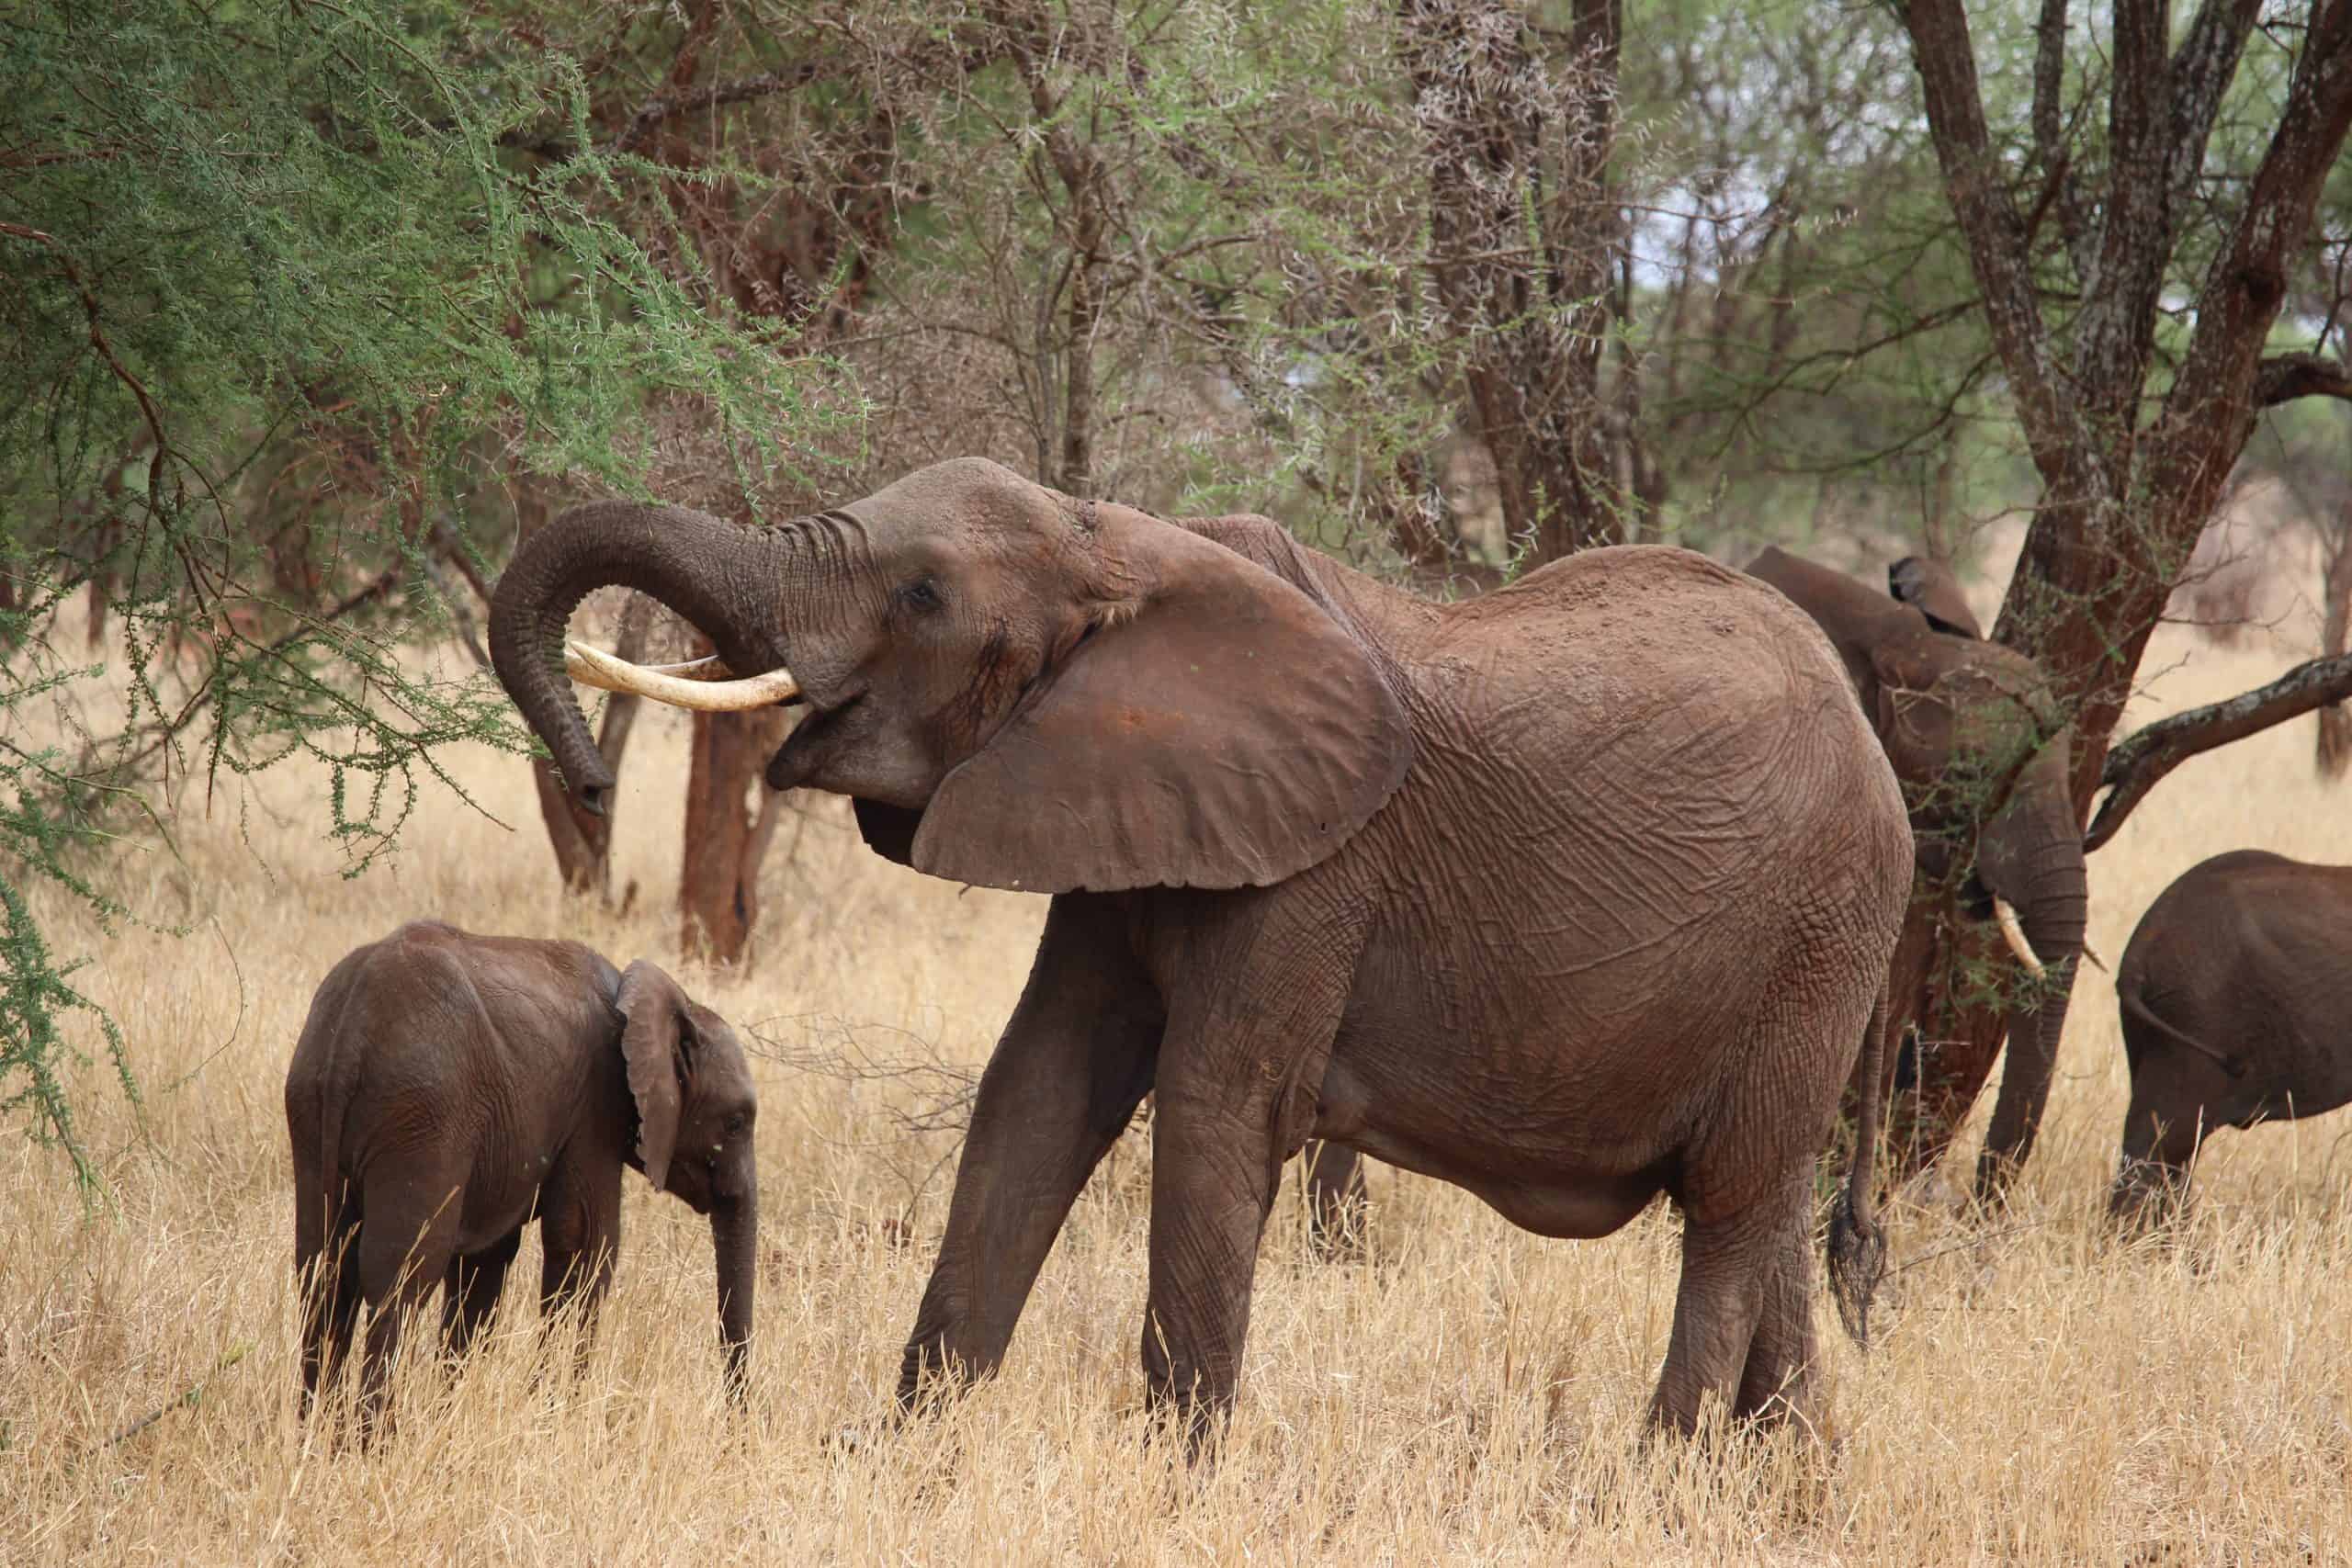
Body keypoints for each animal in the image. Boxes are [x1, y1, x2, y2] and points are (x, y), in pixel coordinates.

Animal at [284, 921, 758, 1433]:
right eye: (736, 1123)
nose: (736, 1432)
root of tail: (350, 1034)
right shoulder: (596, 1108)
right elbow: (586, 1246)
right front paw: (556, 1412)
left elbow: (485, 1265)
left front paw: (455, 1415)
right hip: (421, 1117)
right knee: (398, 1275)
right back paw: (373, 1440)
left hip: (312, 1107)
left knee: (323, 1271)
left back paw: (313, 1434)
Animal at [490, 456, 1913, 1439]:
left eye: (923, 592)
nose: (593, 788)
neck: (1122, 544)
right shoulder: (1112, 805)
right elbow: (1039, 1089)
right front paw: (903, 1459)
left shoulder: (1313, 865)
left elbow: (1216, 1106)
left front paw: (1176, 1479)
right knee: (1770, 1214)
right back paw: (1782, 1489)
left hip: (1820, 937)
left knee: (1727, 1214)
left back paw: (1650, 1484)